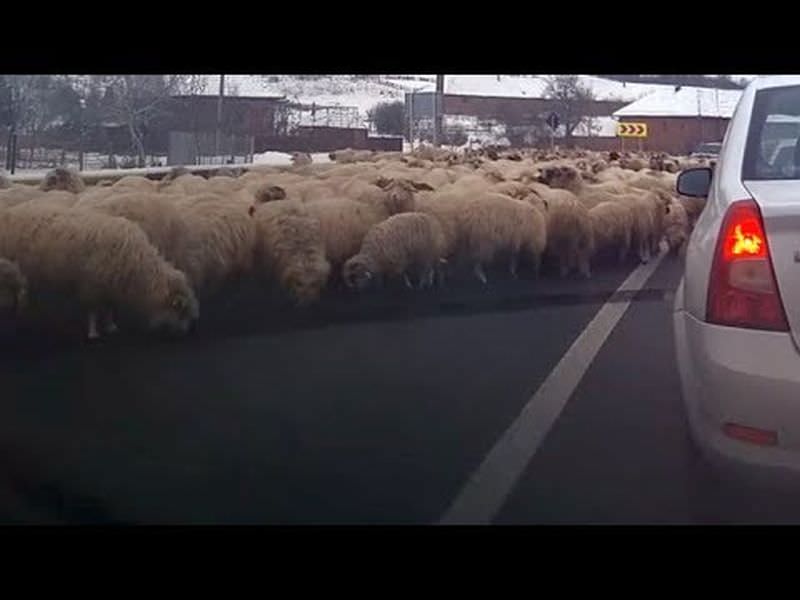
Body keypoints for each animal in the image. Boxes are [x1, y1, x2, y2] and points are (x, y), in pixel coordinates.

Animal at [0, 205, 199, 338]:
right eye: (181, 310)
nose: (185, 333)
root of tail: (9, 214)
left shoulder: (109, 285)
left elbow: (109, 308)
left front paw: (111, 326)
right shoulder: (92, 285)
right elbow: (93, 311)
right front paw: (93, 332)